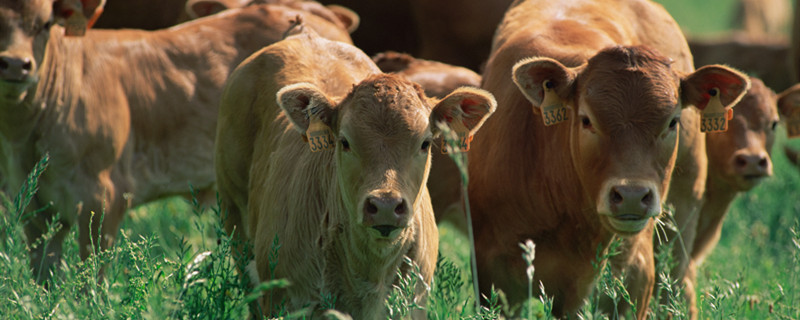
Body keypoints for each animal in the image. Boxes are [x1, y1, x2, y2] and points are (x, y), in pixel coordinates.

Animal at [0, 0, 356, 280]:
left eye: (45, 24)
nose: (16, 64)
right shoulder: (32, 205)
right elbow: (45, 278)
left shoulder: (103, 199)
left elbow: (92, 281)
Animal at [468, 0, 752, 316]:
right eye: (586, 120)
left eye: (672, 121)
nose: (631, 195)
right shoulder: (494, 276)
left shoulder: (634, 280)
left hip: (681, 217)